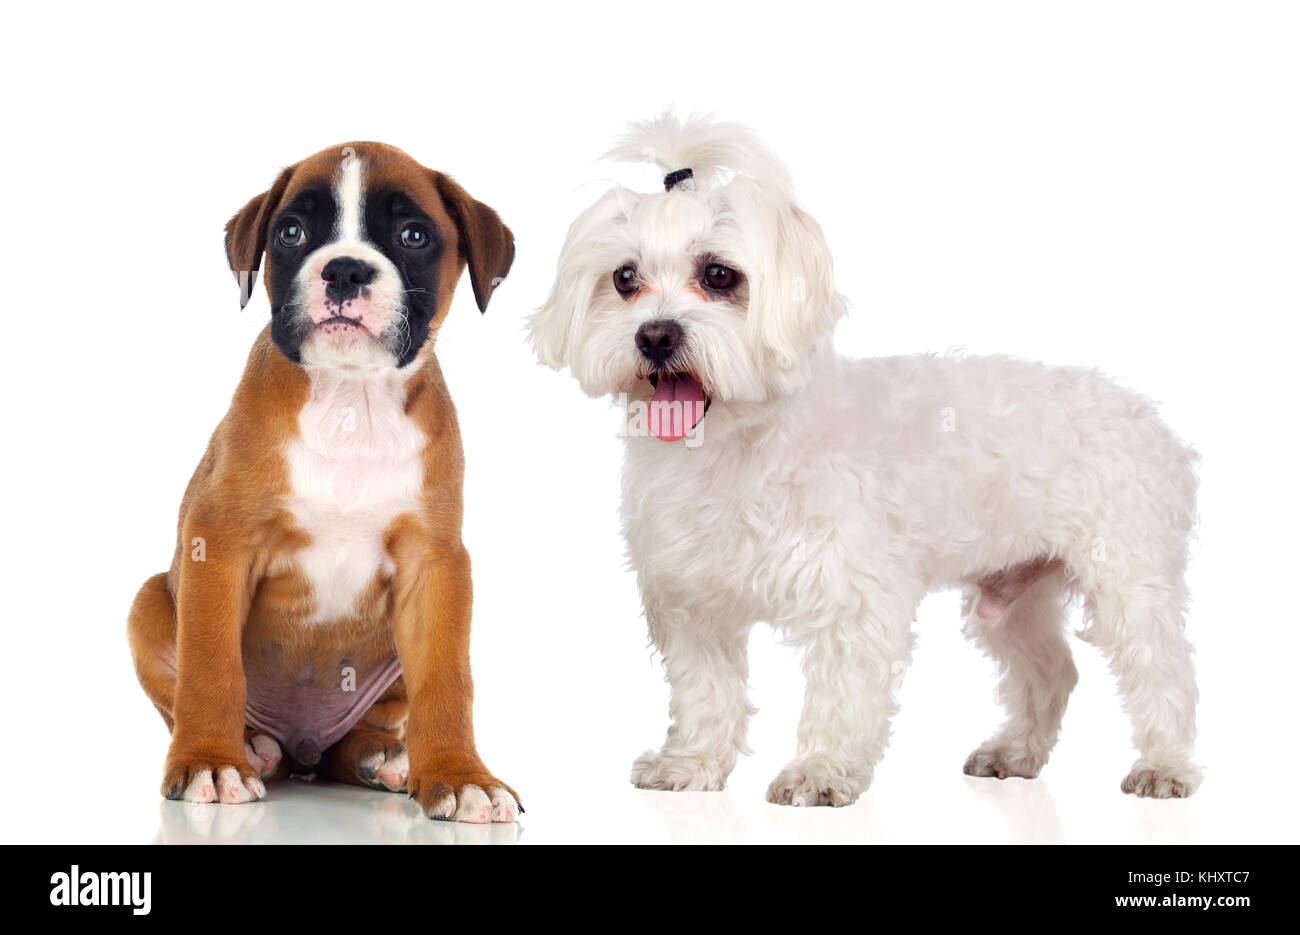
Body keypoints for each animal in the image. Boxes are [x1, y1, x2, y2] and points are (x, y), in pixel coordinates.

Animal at [128, 142, 517, 821]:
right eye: (291, 232)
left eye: (414, 236)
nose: (345, 270)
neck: (350, 400)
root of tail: (302, 750)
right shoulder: (218, 543)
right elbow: (211, 666)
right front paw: (209, 761)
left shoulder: (435, 566)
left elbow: (448, 680)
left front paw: (461, 775)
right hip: (148, 604)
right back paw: (251, 748)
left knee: (360, 737)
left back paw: (378, 757)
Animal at [525, 115, 1196, 806]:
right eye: (624, 278)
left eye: (718, 275)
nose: (655, 336)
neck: (739, 447)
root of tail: (1147, 415)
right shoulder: (691, 603)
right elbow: (705, 692)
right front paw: (691, 763)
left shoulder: (854, 599)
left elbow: (842, 696)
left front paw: (820, 772)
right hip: (1013, 597)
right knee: (1053, 671)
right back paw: (1015, 753)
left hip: (1128, 584)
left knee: (1163, 672)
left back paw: (1166, 765)